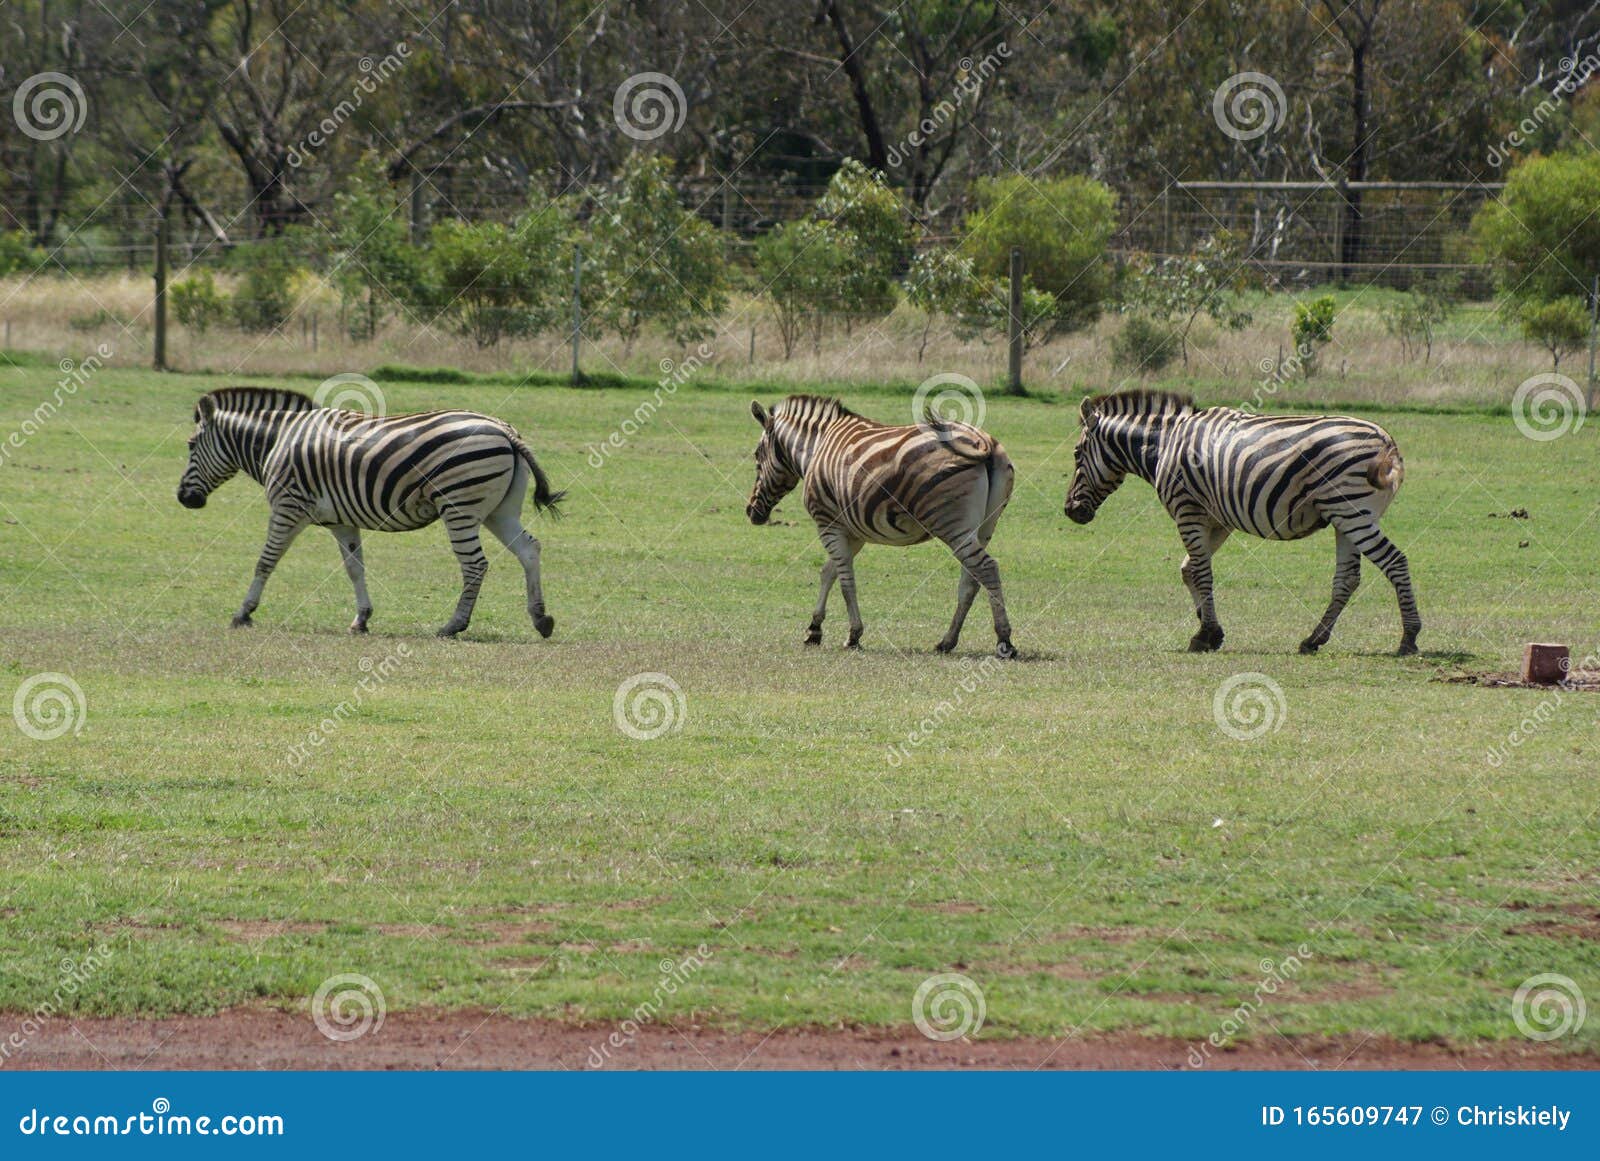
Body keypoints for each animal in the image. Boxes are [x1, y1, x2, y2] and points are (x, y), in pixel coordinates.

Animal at [176, 387, 564, 638]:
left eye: (191, 445)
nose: (183, 498)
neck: (277, 442)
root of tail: (506, 431)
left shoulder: (288, 508)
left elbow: (265, 561)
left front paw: (243, 612)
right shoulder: (341, 521)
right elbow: (354, 568)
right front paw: (361, 619)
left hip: (460, 506)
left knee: (475, 564)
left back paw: (454, 625)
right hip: (499, 510)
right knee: (529, 549)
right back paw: (541, 619)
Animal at [746, 394, 1016, 657]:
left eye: (757, 456)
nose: (751, 512)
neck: (817, 447)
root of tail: (984, 441)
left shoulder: (828, 523)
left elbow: (846, 581)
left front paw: (853, 635)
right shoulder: (852, 531)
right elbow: (828, 572)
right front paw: (814, 629)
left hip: (953, 526)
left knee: (986, 569)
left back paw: (1004, 640)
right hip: (983, 528)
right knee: (971, 579)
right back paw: (947, 641)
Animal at [1064, 389, 1420, 656]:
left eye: (1077, 454)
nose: (1070, 511)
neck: (1165, 444)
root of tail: (1386, 439)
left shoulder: (1187, 509)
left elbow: (1202, 573)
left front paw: (1205, 632)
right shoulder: (1217, 520)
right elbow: (1189, 570)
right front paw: (1209, 629)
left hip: (1351, 510)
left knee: (1395, 562)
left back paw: (1409, 638)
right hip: (1344, 517)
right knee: (1347, 579)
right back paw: (1313, 639)